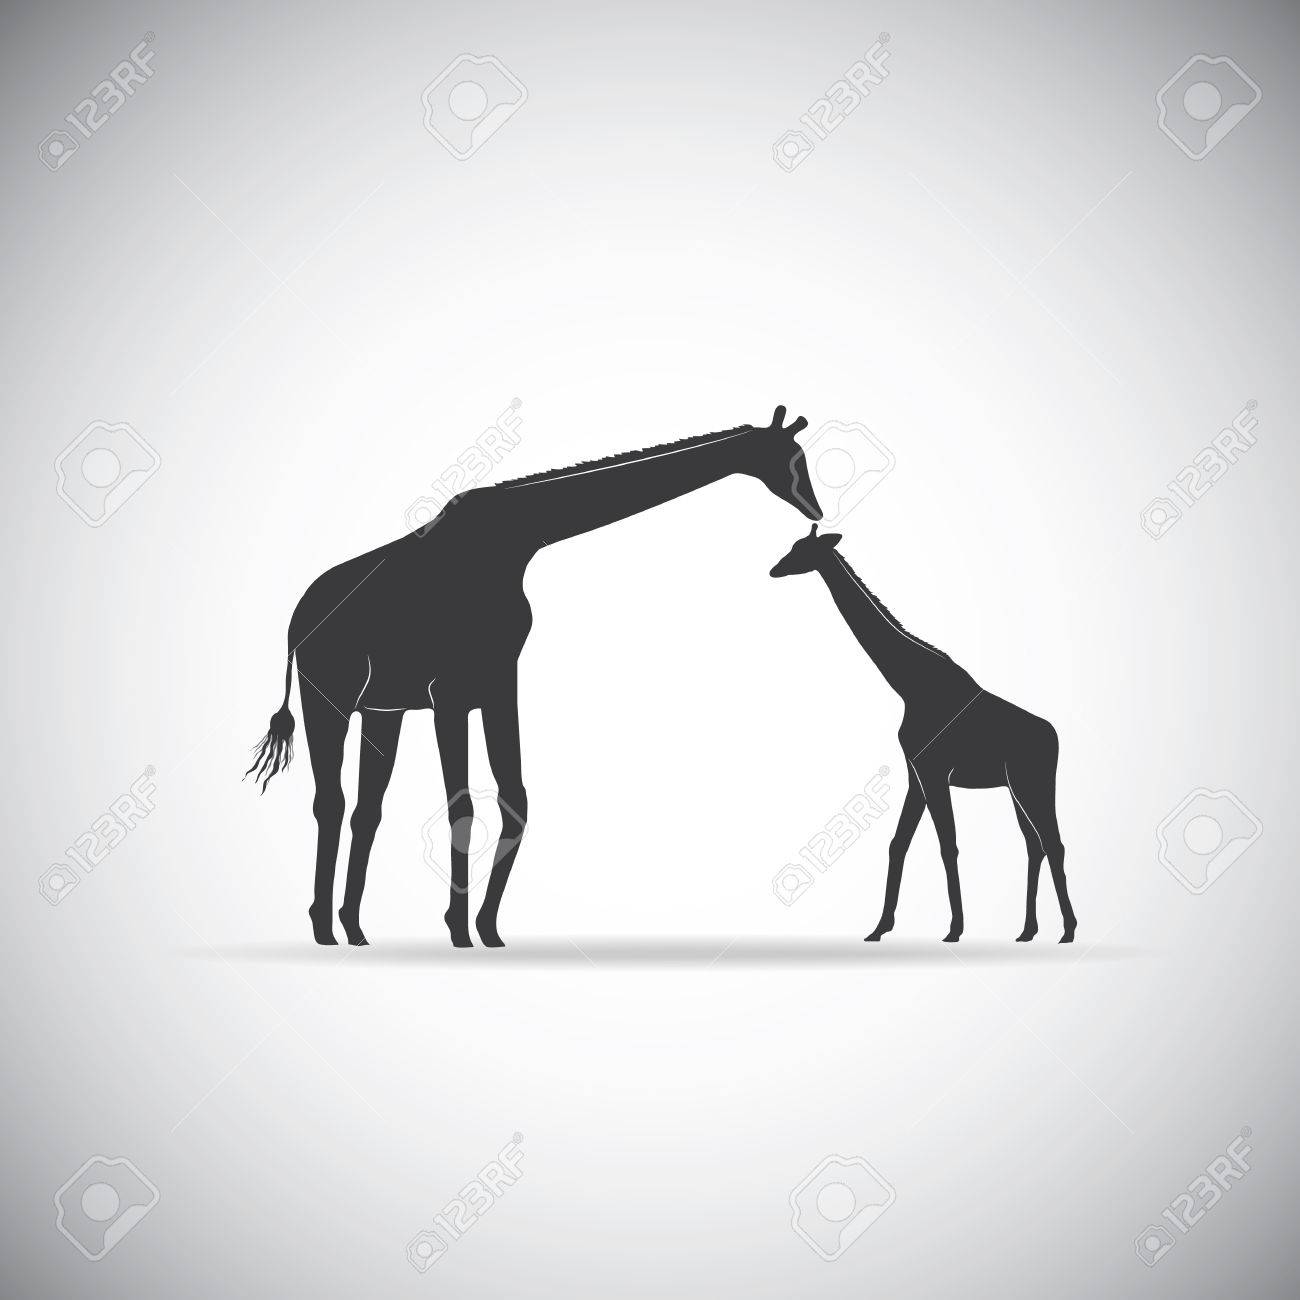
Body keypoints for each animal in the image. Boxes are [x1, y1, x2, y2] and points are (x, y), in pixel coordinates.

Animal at [248, 407, 821, 948]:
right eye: (790, 459)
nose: (815, 509)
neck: (517, 541)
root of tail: (295, 622)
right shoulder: (450, 693)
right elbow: (462, 808)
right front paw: (458, 929)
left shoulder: (498, 682)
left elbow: (515, 800)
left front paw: (487, 928)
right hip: (329, 698)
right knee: (330, 802)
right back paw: (323, 927)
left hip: (381, 709)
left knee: (366, 810)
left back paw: (355, 928)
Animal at [769, 525, 1077, 943]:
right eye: (793, 545)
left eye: (803, 549)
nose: (775, 569)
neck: (910, 686)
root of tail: (1055, 737)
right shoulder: (915, 773)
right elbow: (898, 844)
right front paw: (880, 927)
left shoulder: (934, 770)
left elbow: (948, 845)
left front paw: (955, 929)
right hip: (1015, 787)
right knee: (1035, 844)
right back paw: (1028, 930)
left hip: (1033, 782)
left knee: (1053, 843)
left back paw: (1068, 930)